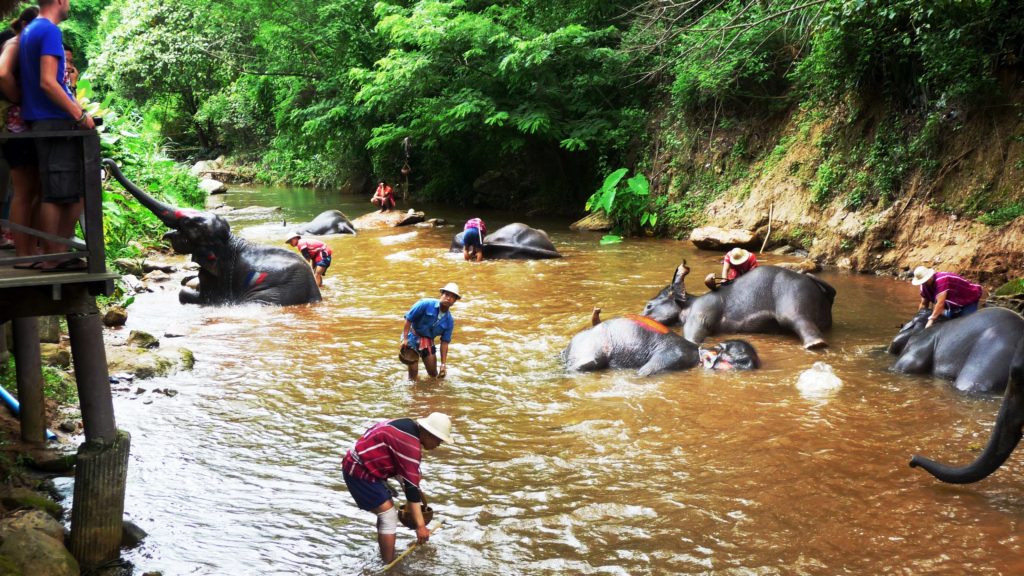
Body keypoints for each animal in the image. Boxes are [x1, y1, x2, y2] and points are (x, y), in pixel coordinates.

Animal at [643, 262, 835, 348]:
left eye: (648, 306)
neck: (689, 301)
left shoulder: (701, 310)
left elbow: (694, 335)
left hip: (793, 297)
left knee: (797, 319)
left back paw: (815, 345)